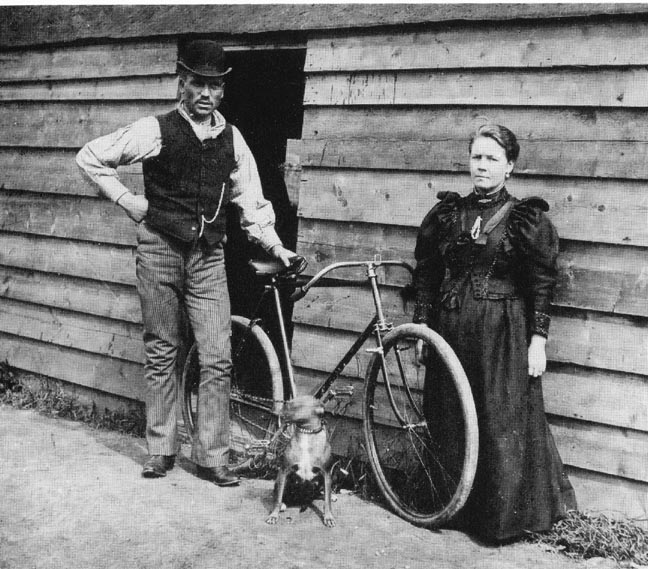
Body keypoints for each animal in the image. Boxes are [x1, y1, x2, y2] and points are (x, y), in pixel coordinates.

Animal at [264, 394, 334, 524]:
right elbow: (278, 498)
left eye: (292, 405)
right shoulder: (284, 471)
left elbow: (327, 501)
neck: (307, 433)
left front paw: (328, 516)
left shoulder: (326, 474)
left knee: (322, 494)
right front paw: (274, 515)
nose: (277, 412)